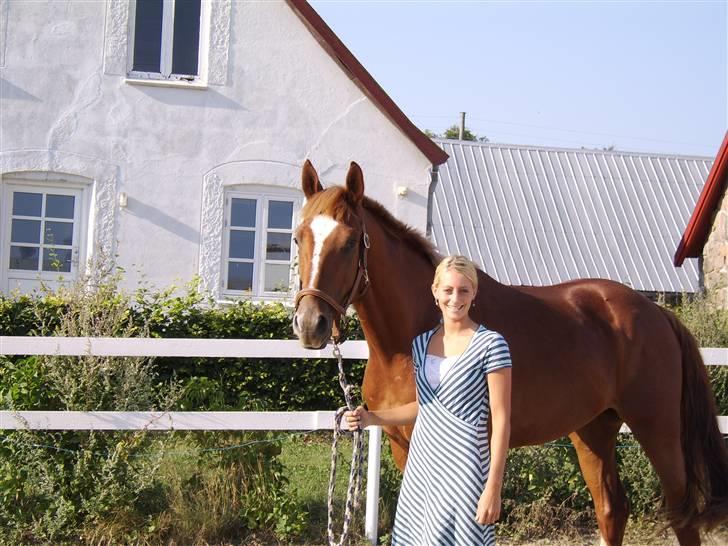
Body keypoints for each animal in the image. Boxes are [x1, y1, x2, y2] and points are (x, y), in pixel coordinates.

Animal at [292, 159, 728, 540]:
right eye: (298, 237)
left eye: (350, 242)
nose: (310, 323)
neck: (408, 340)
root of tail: (657, 313)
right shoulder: (404, 448)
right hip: (593, 428)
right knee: (612, 509)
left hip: (658, 429)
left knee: (681, 516)